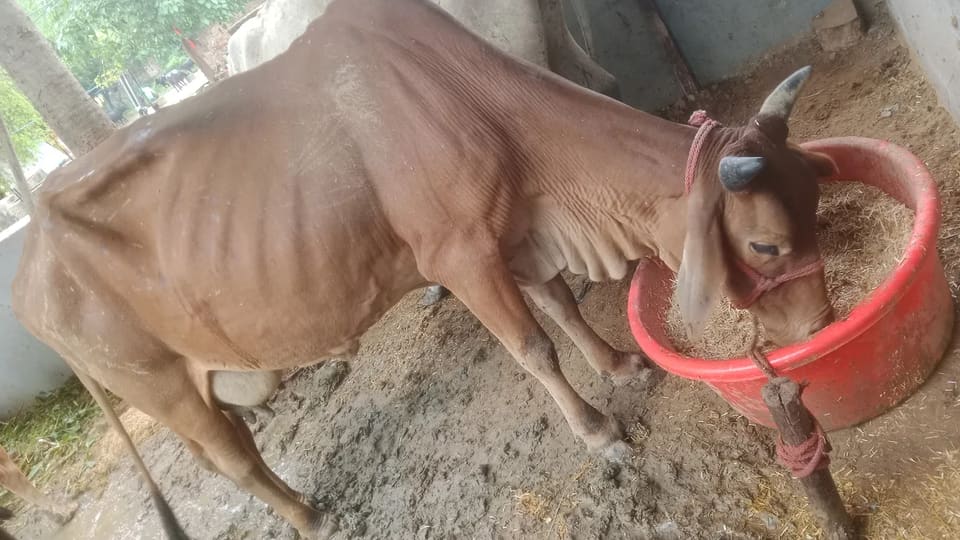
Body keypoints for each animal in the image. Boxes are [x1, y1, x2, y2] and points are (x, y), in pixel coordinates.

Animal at [13, 0, 837, 538]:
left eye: (817, 191)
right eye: (765, 245)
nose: (821, 321)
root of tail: (29, 267)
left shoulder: (515, 229)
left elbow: (564, 308)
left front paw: (619, 364)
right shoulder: (460, 253)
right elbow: (534, 346)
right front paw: (600, 431)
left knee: (232, 443)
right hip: (157, 383)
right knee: (228, 460)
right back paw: (309, 515)